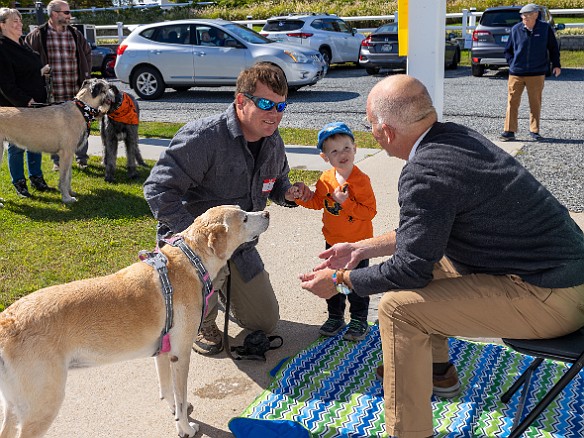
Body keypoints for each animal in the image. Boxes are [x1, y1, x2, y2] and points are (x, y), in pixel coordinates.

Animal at [0, 206, 270, 438]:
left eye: (245, 210)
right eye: (244, 218)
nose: (267, 213)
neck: (191, 259)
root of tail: (7, 320)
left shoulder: (164, 352)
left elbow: (167, 390)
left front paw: (175, 414)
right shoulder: (181, 355)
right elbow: (180, 397)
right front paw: (185, 428)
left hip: (14, 405)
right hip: (43, 404)